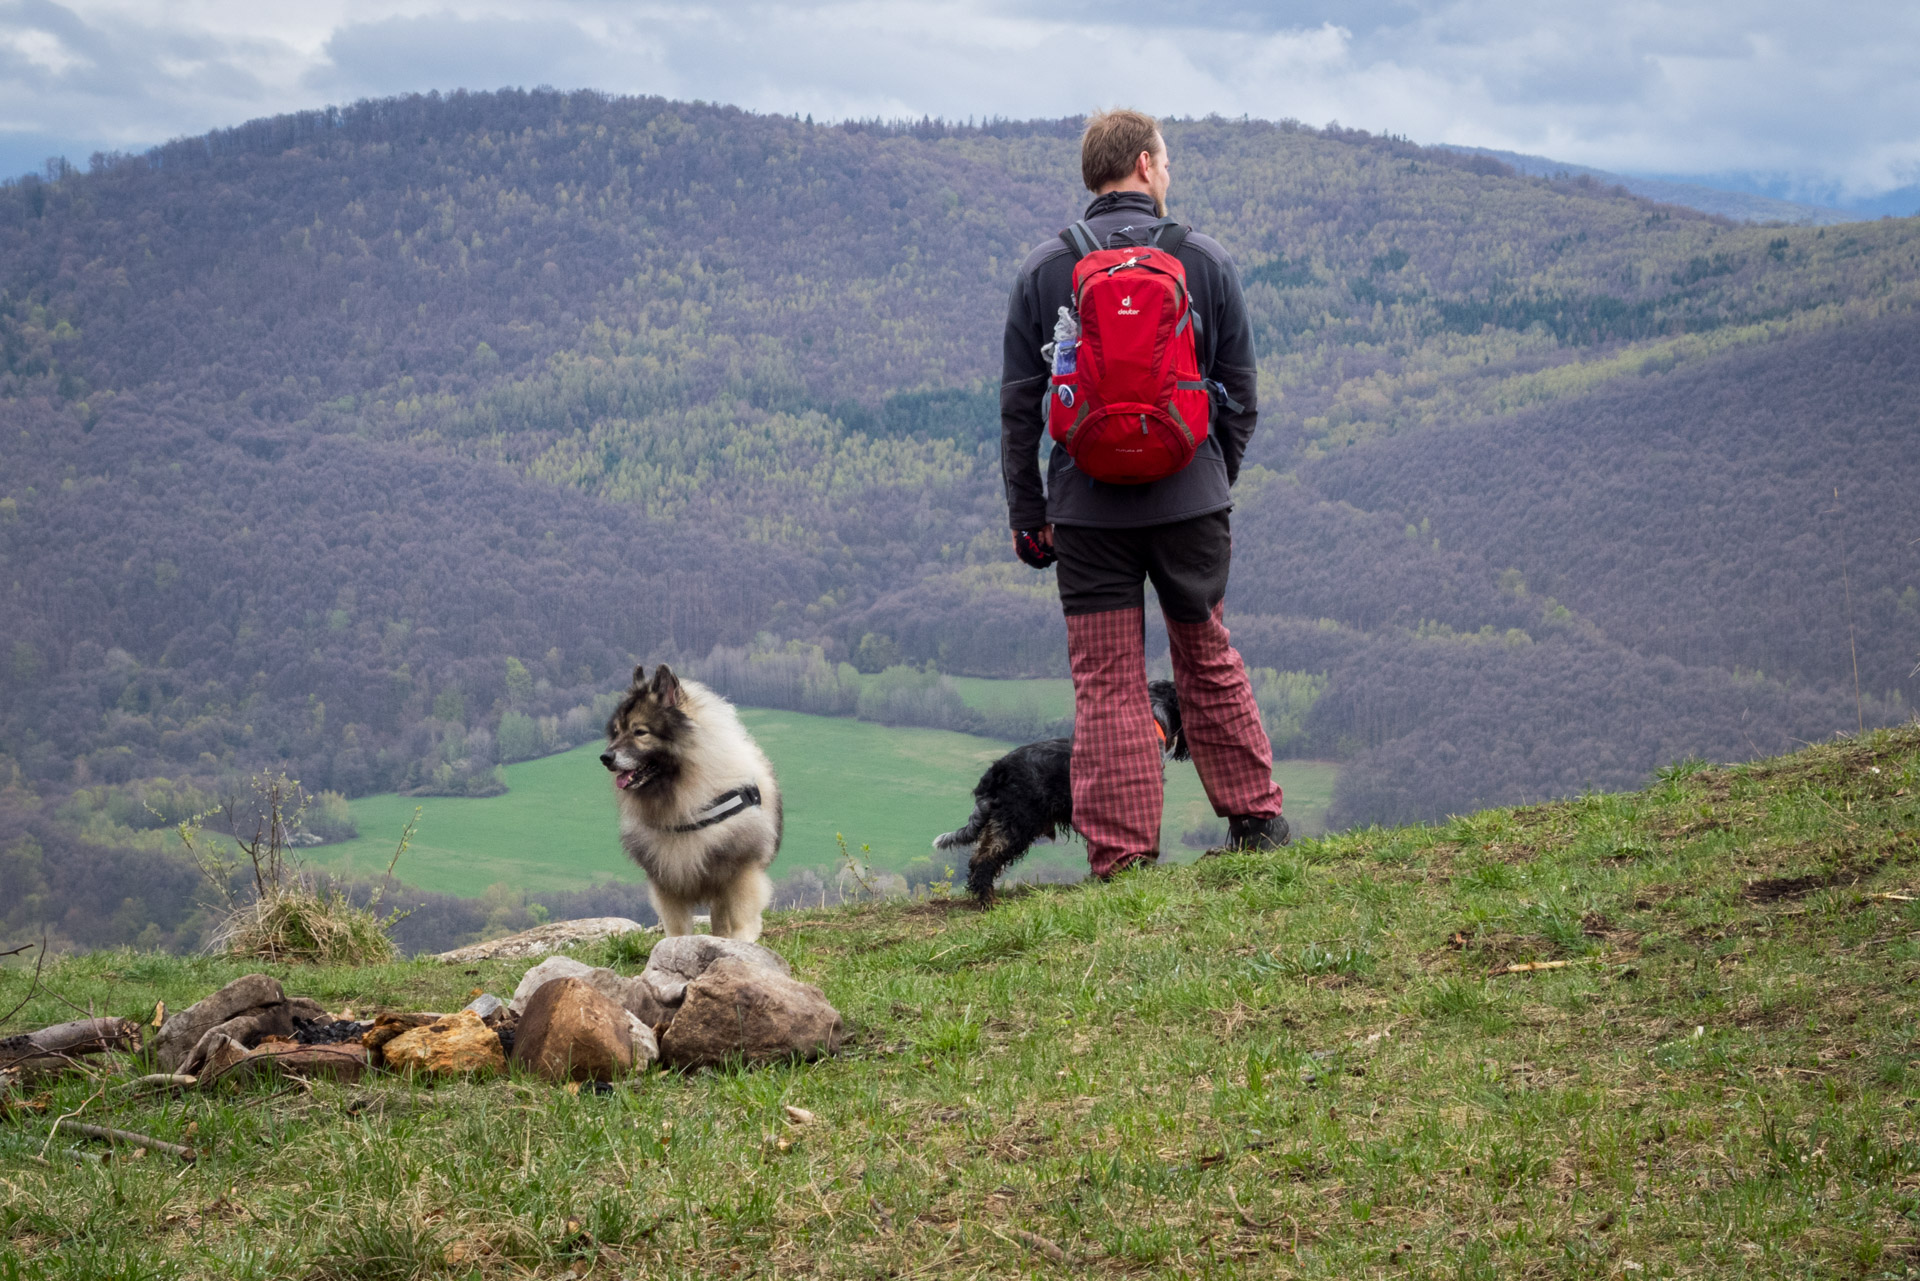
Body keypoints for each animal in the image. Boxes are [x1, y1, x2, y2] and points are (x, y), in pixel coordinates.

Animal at [599, 668, 779, 937]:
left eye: (640, 732)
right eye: (617, 732)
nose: (605, 757)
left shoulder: (740, 869)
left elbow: (741, 918)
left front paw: (742, 941)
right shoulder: (666, 880)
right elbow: (677, 928)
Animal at [933, 679, 1182, 902]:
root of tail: (997, 769)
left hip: (1001, 822)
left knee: (978, 857)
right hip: (1017, 823)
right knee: (986, 859)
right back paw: (987, 900)